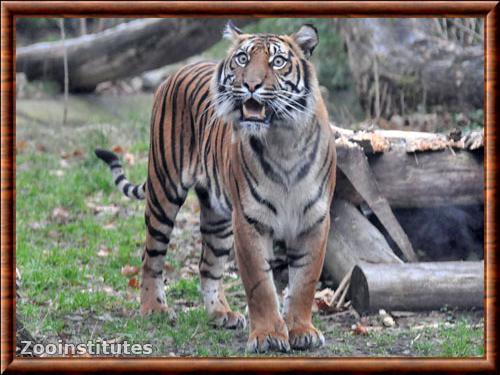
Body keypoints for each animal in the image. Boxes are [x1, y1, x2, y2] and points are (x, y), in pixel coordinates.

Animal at [94, 22, 336, 354]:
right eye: (243, 59)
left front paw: (301, 331)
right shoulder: (249, 220)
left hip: (217, 215)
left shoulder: (314, 220)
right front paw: (268, 336)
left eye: (277, 61)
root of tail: (179, 70)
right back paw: (154, 309)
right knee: (151, 255)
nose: (250, 85)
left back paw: (221, 313)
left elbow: (304, 283)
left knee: (207, 264)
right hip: (163, 191)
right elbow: (261, 285)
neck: (283, 141)